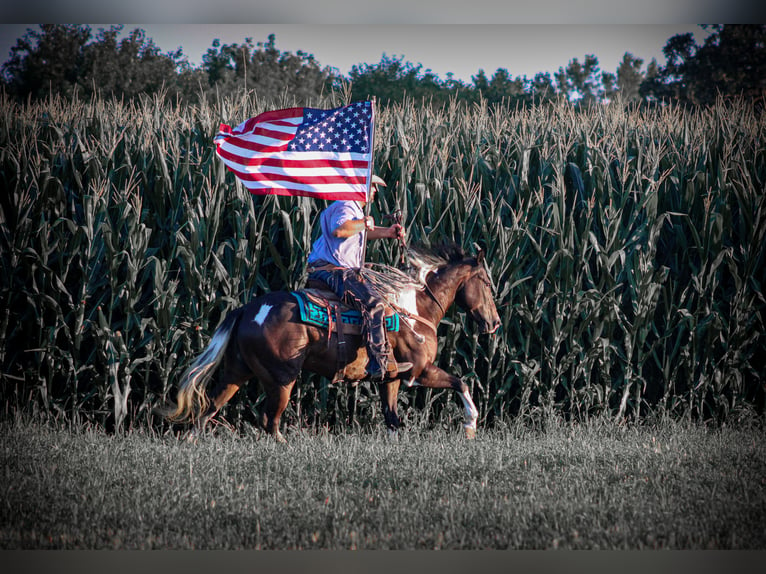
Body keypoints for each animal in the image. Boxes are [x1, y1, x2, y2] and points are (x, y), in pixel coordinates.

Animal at [166, 245, 504, 444]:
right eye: (487, 283)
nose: (495, 323)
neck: (415, 310)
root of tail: (248, 310)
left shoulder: (392, 379)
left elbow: (392, 418)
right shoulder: (418, 372)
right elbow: (461, 382)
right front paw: (470, 425)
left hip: (236, 373)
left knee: (208, 409)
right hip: (282, 379)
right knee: (269, 420)